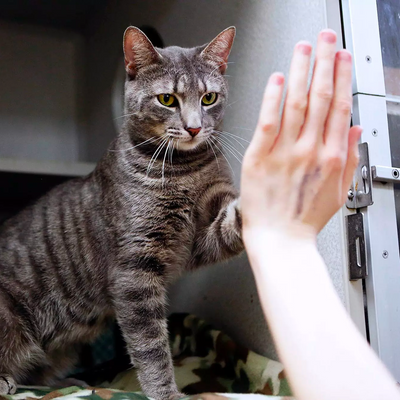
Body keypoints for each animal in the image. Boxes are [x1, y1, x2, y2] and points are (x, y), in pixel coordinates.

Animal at [0, 26, 244, 398]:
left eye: (208, 98)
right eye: (167, 99)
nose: (194, 128)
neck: (184, 171)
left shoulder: (204, 233)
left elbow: (231, 221)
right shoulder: (134, 270)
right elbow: (151, 347)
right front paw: (166, 393)